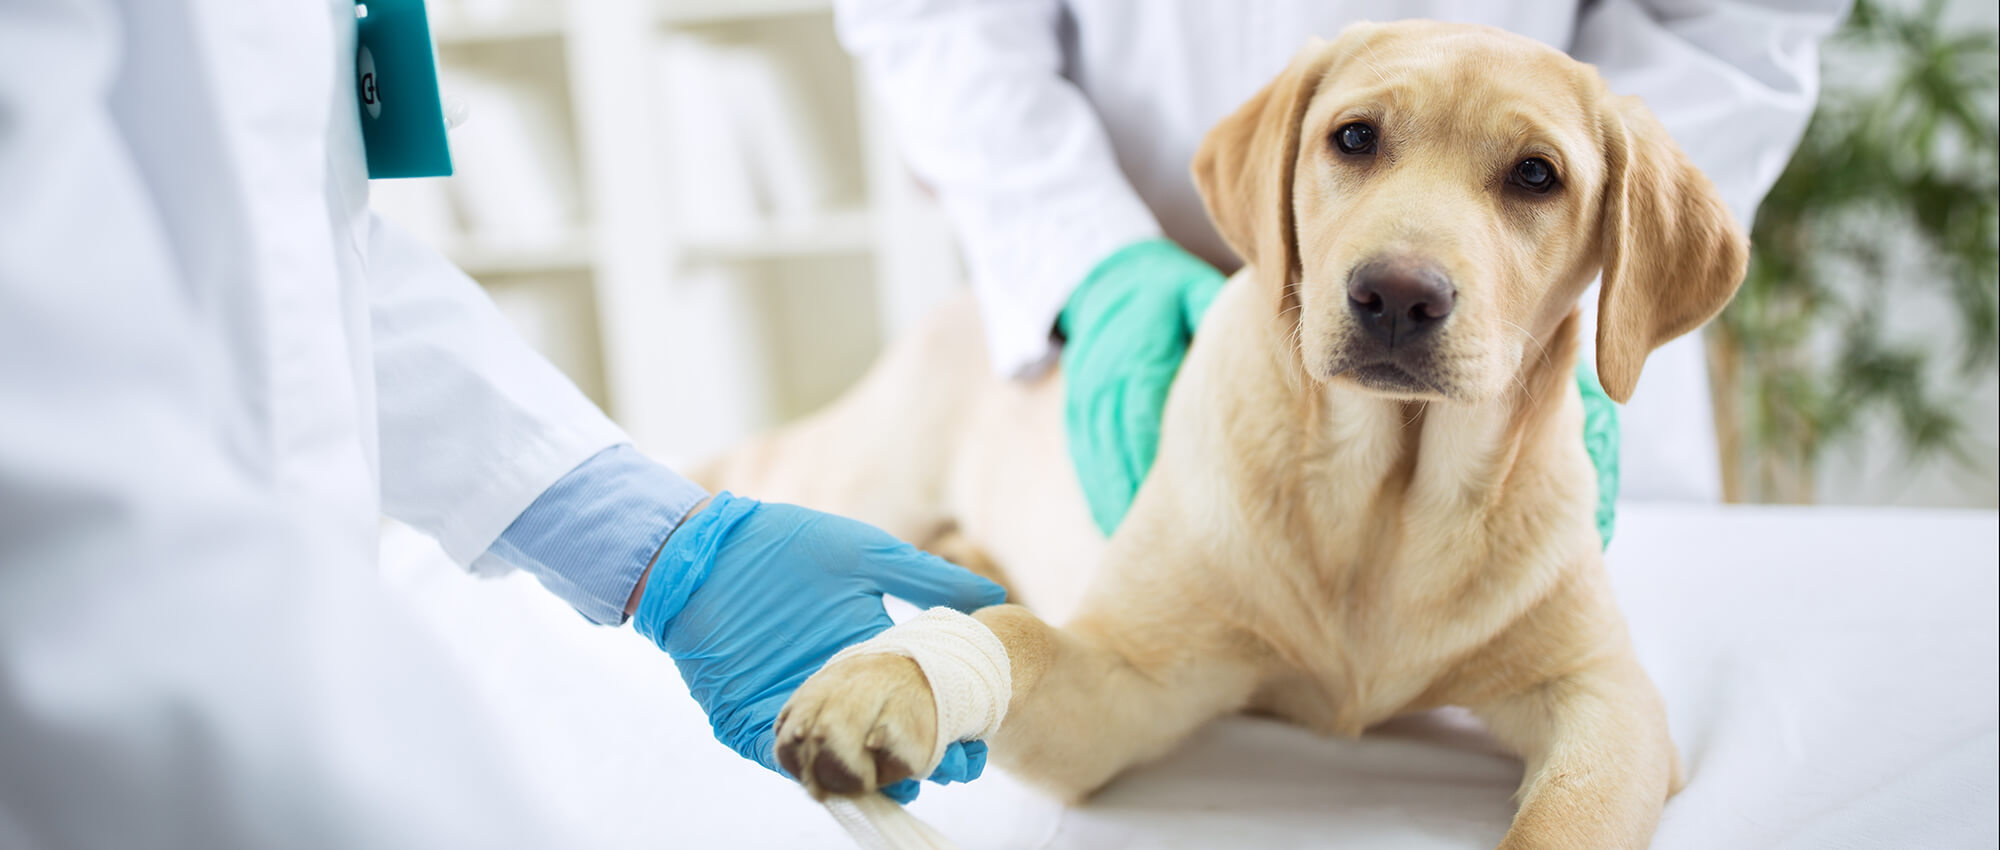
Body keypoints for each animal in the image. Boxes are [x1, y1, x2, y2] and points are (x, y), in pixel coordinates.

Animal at [712, 19, 1744, 848]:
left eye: (1538, 175)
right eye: (1354, 138)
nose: (1397, 295)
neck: (1386, 499)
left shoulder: (1606, 698)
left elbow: (1567, 819)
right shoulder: (1126, 688)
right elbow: (1018, 635)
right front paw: (892, 678)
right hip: (859, 476)